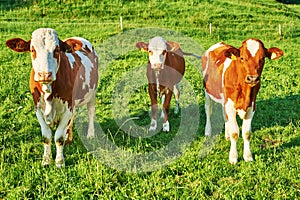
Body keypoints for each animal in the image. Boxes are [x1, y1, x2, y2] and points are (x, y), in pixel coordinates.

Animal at [5, 27, 98, 166]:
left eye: (57, 50)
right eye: (32, 50)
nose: (44, 74)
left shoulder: (67, 108)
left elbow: (58, 137)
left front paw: (59, 161)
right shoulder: (38, 108)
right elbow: (46, 136)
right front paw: (46, 160)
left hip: (92, 92)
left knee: (91, 111)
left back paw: (90, 134)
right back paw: (68, 136)